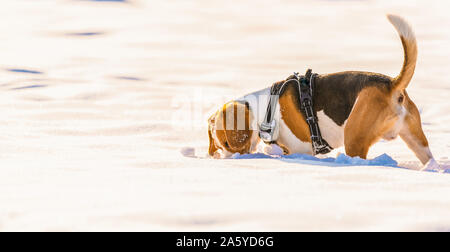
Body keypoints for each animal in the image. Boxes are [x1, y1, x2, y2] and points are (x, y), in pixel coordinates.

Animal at [207, 14, 436, 167]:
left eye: (227, 143)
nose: (224, 158)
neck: (266, 110)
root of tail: (391, 84)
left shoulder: (301, 148)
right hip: (416, 140)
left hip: (354, 138)